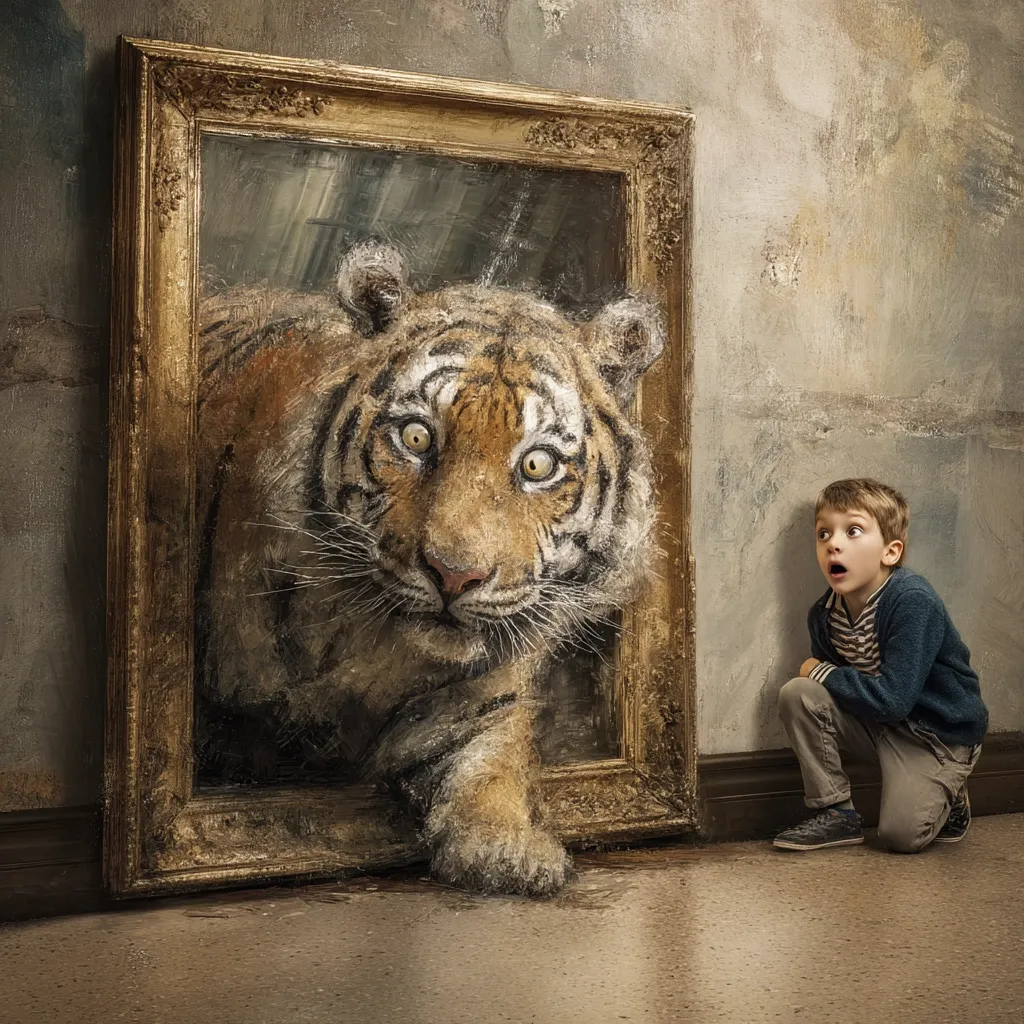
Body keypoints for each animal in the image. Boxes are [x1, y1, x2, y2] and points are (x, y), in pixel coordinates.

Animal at [195, 239, 665, 896]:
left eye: (538, 464)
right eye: (417, 437)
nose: (454, 575)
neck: (376, 652)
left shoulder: (485, 706)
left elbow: (493, 774)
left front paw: (512, 852)